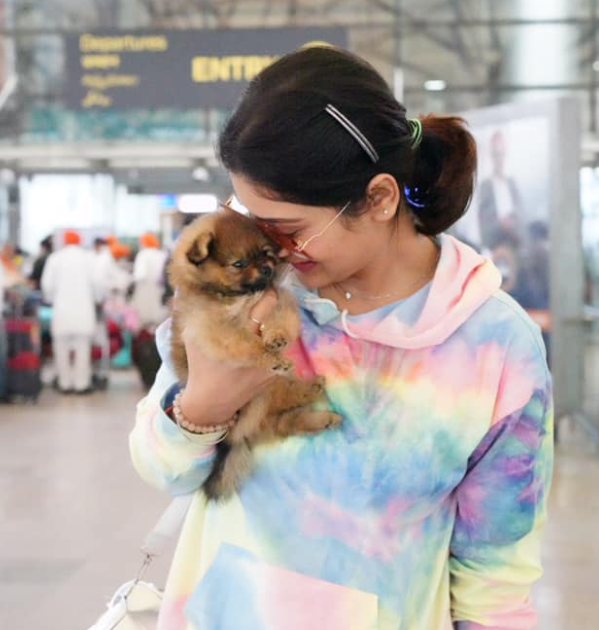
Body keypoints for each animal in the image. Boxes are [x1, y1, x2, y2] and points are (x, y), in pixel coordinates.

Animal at [166, 210, 342, 502]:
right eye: (239, 263)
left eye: (265, 254)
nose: (267, 269)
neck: (236, 296)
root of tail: (237, 437)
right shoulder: (216, 330)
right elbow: (248, 346)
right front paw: (270, 357)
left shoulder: (278, 299)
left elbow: (280, 319)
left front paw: (276, 337)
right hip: (261, 398)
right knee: (286, 417)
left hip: (268, 397)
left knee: (288, 415)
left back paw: (317, 403)